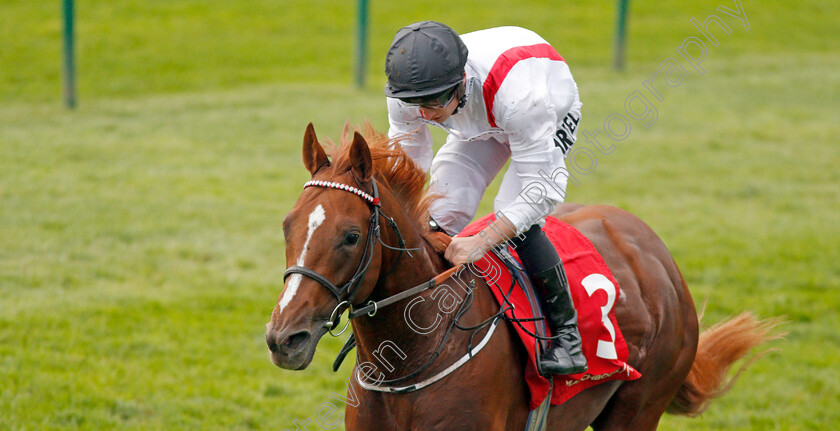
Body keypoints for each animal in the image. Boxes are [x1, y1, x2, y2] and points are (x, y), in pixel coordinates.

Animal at [266, 123, 776, 430]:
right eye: (287, 224)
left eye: (351, 236)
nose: (284, 338)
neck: (413, 360)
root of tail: (658, 255)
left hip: (640, 406)